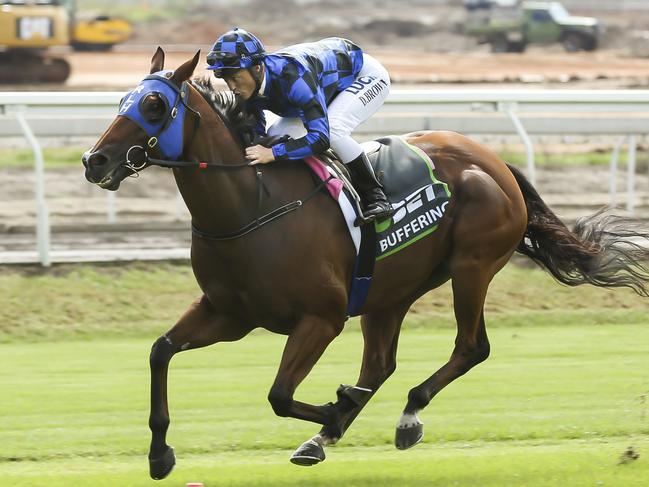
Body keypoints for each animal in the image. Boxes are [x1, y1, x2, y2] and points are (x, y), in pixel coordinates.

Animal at [83, 49, 648, 480]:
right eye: (122, 100)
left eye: (154, 103)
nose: (95, 161)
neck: (252, 204)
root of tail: (494, 161)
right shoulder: (229, 313)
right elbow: (160, 351)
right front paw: (160, 454)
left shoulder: (322, 318)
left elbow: (279, 394)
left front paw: (335, 409)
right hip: (388, 291)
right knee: (379, 364)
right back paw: (330, 432)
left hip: (472, 266)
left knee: (471, 347)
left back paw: (405, 415)